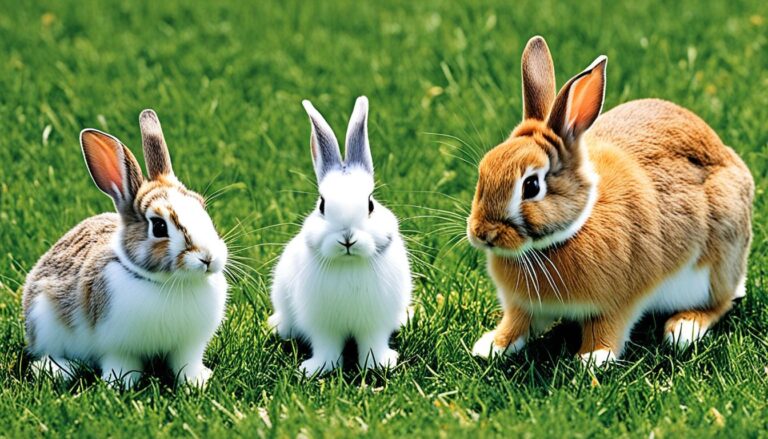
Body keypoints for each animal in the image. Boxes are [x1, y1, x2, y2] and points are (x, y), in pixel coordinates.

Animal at [22, 110, 229, 388]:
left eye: (201, 206)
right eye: (159, 226)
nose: (208, 258)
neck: (168, 283)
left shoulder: (188, 346)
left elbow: (186, 363)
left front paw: (197, 381)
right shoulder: (117, 348)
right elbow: (120, 363)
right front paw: (120, 384)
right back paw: (58, 369)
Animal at [268, 96, 412, 377]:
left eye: (370, 204)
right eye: (322, 205)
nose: (347, 238)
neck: (349, 265)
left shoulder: (375, 324)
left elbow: (373, 343)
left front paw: (380, 364)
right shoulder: (322, 327)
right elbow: (326, 347)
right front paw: (316, 369)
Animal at [467, 36, 753, 367]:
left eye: (531, 186)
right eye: (484, 170)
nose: (482, 233)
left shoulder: (621, 300)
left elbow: (609, 326)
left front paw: (593, 357)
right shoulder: (522, 307)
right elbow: (516, 323)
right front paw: (492, 346)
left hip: (716, 264)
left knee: (720, 303)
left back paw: (684, 327)